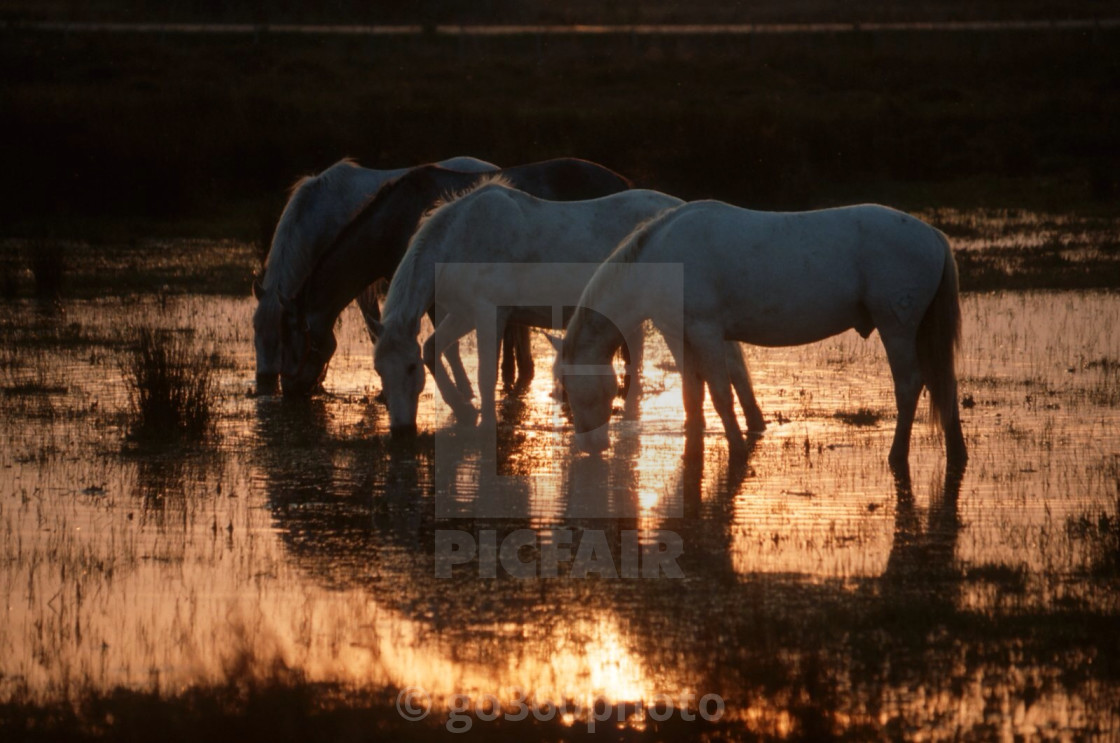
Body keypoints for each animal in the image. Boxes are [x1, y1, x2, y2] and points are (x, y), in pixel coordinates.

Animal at [371, 181, 694, 437]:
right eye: (378, 370)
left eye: (410, 368)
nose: (401, 431)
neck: (461, 238)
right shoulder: (464, 314)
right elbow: (431, 348)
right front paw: (464, 411)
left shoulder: (489, 314)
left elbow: (486, 375)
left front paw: (485, 426)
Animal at [564, 200, 967, 472]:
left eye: (571, 391)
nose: (589, 445)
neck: (662, 258)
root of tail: (933, 236)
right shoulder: (681, 335)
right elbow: (693, 397)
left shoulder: (705, 331)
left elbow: (721, 395)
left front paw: (738, 449)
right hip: (919, 331)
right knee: (944, 382)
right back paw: (957, 452)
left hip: (897, 327)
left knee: (910, 385)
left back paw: (897, 455)